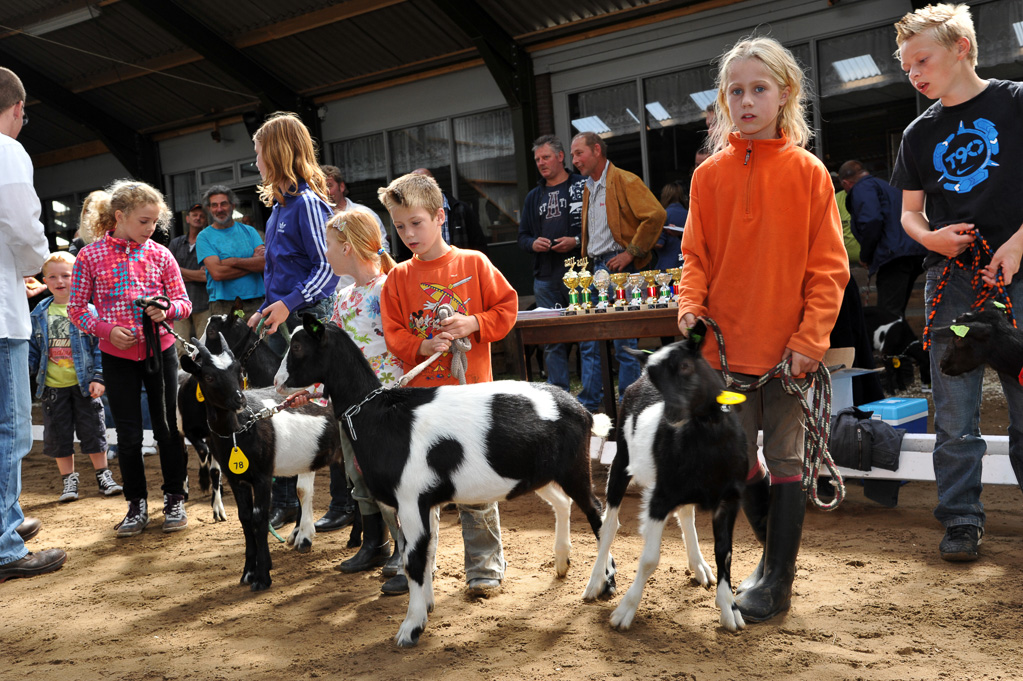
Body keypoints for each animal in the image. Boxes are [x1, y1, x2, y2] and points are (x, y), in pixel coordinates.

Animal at [181, 329, 343, 588]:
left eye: (239, 371)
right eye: (208, 376)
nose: (239, 400)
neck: (241, 428)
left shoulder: (263, 476)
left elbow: (259, 519)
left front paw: (262, 576)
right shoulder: (236, 479)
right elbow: (245, 518)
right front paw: (248, 573)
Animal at [274, 314, 613, 646]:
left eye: (299, 347)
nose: (277, 383)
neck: (379, 415)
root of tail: (582, 410)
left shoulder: (411, 499)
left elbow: (413, 559)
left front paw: (410, 628)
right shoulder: (421, 503)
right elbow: (422, 555)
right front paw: (425, 609)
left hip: (573, 469)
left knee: (598, 514)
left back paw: (601, 584)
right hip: (538, 475)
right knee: (563, 503)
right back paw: (563, 562)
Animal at [585, 321, 744, 629]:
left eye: (685, 365)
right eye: (656, 376)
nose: (672, 413)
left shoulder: (728, 499)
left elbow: (725, 551)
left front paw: (729, 608)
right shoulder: (660, 497)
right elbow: (649, 558)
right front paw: (624, 612)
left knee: (686, 515)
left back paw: (699, 566)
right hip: (621, 461)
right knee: (609, 525)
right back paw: (596, 581)